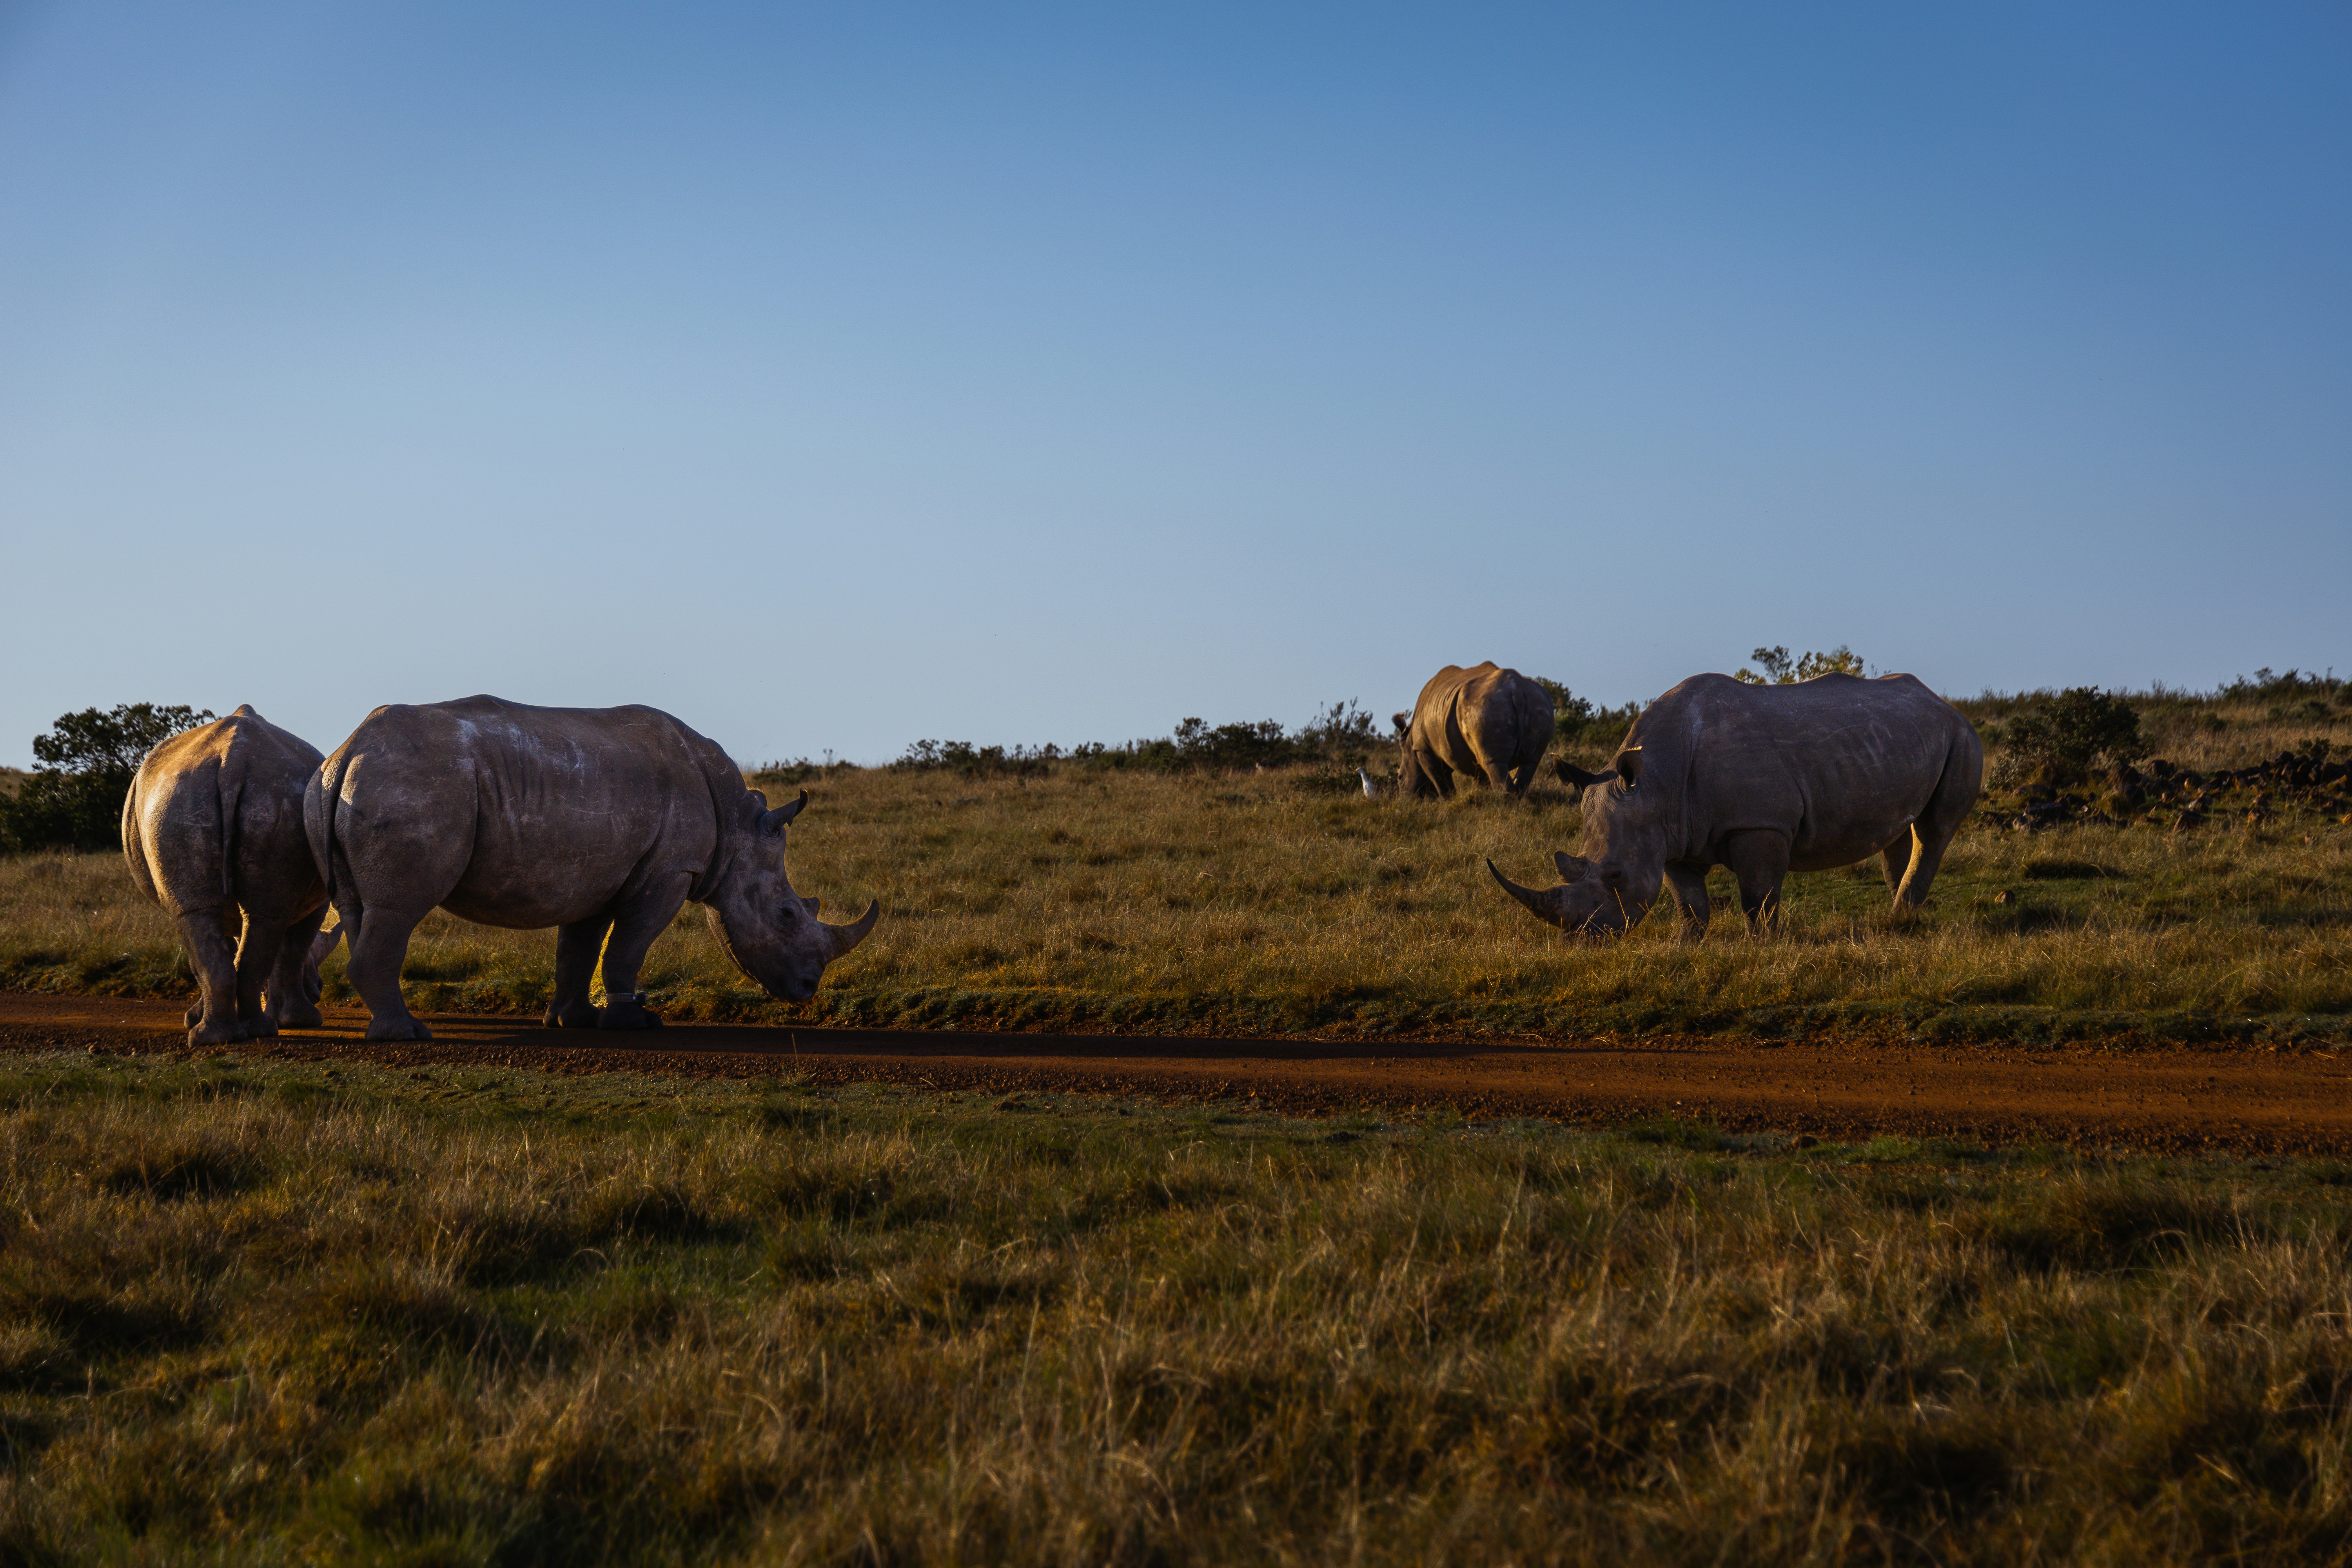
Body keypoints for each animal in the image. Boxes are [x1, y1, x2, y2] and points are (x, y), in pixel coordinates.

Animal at [122, 706, 344, 1046]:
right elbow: (290, 951)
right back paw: (240, 1032)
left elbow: (281, 950)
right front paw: (301, 1021)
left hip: (186, 798)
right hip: (196, 797)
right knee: (231, 917)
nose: (319, 991)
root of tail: (232, 758)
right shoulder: (315, 905)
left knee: (214, 916)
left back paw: (224, 1036)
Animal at [306, 696, 879, 1041]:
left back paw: (388, 1027)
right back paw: (407, 1034)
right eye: (787, 914)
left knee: (359, 906)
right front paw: (634, 1021)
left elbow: (579, 949)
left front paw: (572, 1021)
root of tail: (350, 749)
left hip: (348, 786)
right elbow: (628, 945)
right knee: (398, 908)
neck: (737, 830)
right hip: (409, 784)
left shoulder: (600, 870)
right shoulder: (672, 871)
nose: (808, 988)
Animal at [1397, 663, 1555, 798]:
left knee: (1495, 763)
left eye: (1400, 778)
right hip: (1539, 705)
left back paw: (1504, 804)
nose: (1406, 799)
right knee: (1530, 763)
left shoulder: (1423, 749)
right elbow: (1482, 778)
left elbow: (1441, 782)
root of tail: (1516, 690)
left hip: (1487, 707)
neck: (1410, 740)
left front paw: (1448, 802)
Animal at [1487, 672, 1982, 935]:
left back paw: (1900, 917)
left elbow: (1757, 896)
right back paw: (1897, 918)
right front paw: (1685, 948)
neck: (1656, 782)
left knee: (1934, 830)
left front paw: (1764, 945)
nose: (1585, 938)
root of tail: (1943, 702)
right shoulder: (1671, 834)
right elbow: (1689, 903)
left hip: (1962, 736)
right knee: (1901, 830)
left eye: (1615, 876)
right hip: (1902, 739)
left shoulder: (1759, 823)